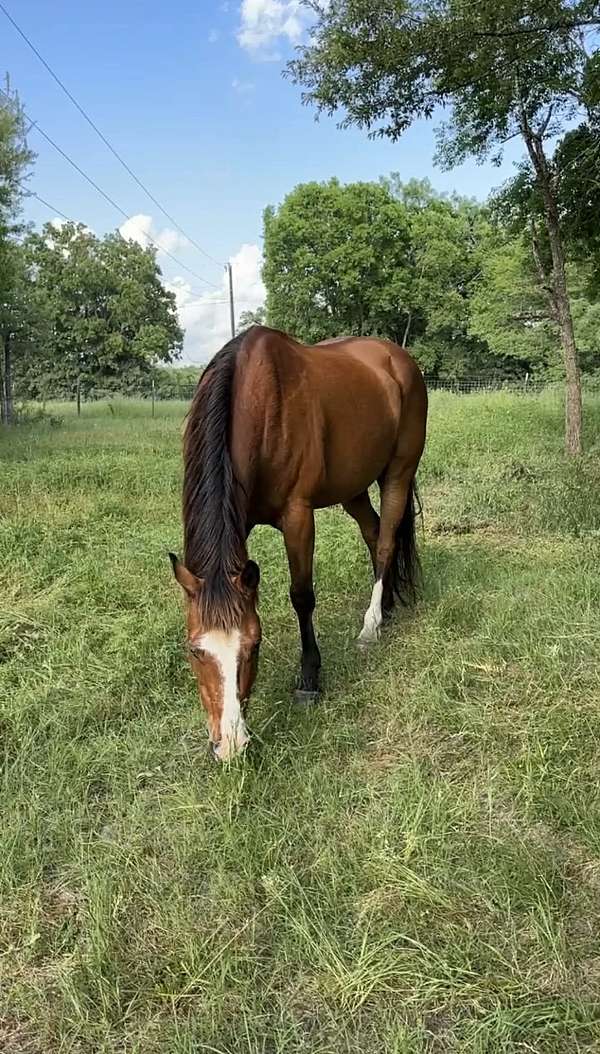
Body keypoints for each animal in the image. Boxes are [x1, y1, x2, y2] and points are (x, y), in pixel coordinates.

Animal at [169, 325, 427, 760]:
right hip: (353, 487)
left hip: (398, 472)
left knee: (387, 541)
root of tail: (399, 358)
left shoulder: (298, 516)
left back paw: (371, 625)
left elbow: (302, 596)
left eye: (254, 646)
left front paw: (309, 678)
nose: (231, 746)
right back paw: (387, 606)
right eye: (194, 650)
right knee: (375, 533)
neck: (258, 402)